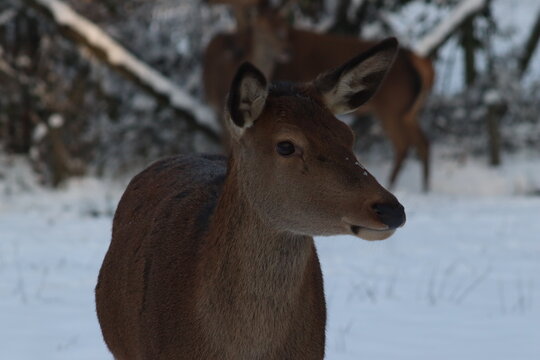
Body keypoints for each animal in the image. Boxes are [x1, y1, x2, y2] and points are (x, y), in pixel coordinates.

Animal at [202, 4, 434, 191]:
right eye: (261, 26)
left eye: (282, 25)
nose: (286, 50)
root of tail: (422, 64)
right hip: (407, 112)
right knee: (422, 141)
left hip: (392, 109)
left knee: (404, 144)